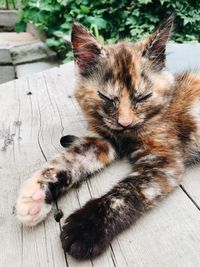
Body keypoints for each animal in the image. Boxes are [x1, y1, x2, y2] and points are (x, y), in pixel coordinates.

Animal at [16, 14, 200, 260]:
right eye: (105, 97)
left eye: (143, 97)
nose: (125, 122)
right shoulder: (102, 139)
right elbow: (66, 160)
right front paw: (34, 195)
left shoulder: (164, 160)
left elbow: (124, 192)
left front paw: (86, 229)